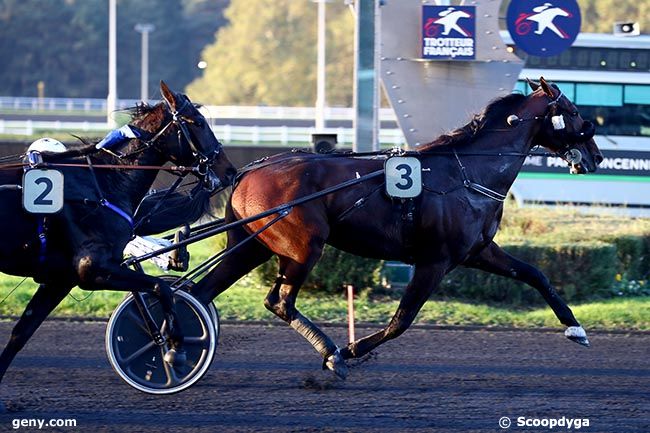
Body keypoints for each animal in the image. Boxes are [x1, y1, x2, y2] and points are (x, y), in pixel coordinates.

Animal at [0, 81, 237, 384]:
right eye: (198, 122)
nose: (228, 170)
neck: (103, 182)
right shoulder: (93, 269)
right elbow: (161, 288)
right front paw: (173, 347)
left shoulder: (60, 279)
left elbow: (20, 334)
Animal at [191, 77, 604, 378]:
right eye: (573, 111)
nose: (596, 157)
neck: (468, 173)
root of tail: (250, 170)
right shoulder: (434, 261)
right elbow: (401, 320)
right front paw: (349, 349)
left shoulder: (479, 252)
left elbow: (536, 274)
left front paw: (576, 329)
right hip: (304, 246)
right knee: (278, 300)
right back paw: (331, 352)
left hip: (252, 245)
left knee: (204, 291)